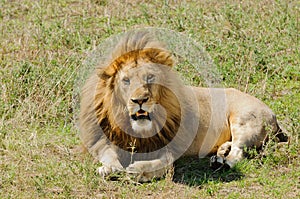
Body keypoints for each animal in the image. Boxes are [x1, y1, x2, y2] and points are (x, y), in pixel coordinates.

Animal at [78, 30, 288, 182]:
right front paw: (108, 168)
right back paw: (220, 154)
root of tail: (272, 113)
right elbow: (109, 156)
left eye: (150, 77)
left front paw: (136, 171)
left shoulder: (169, 147)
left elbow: (161, 165)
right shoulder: (102, 138)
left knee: (239, 151)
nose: (140, 100)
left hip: (245, 122)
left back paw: (222, 163)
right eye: (126, 80)